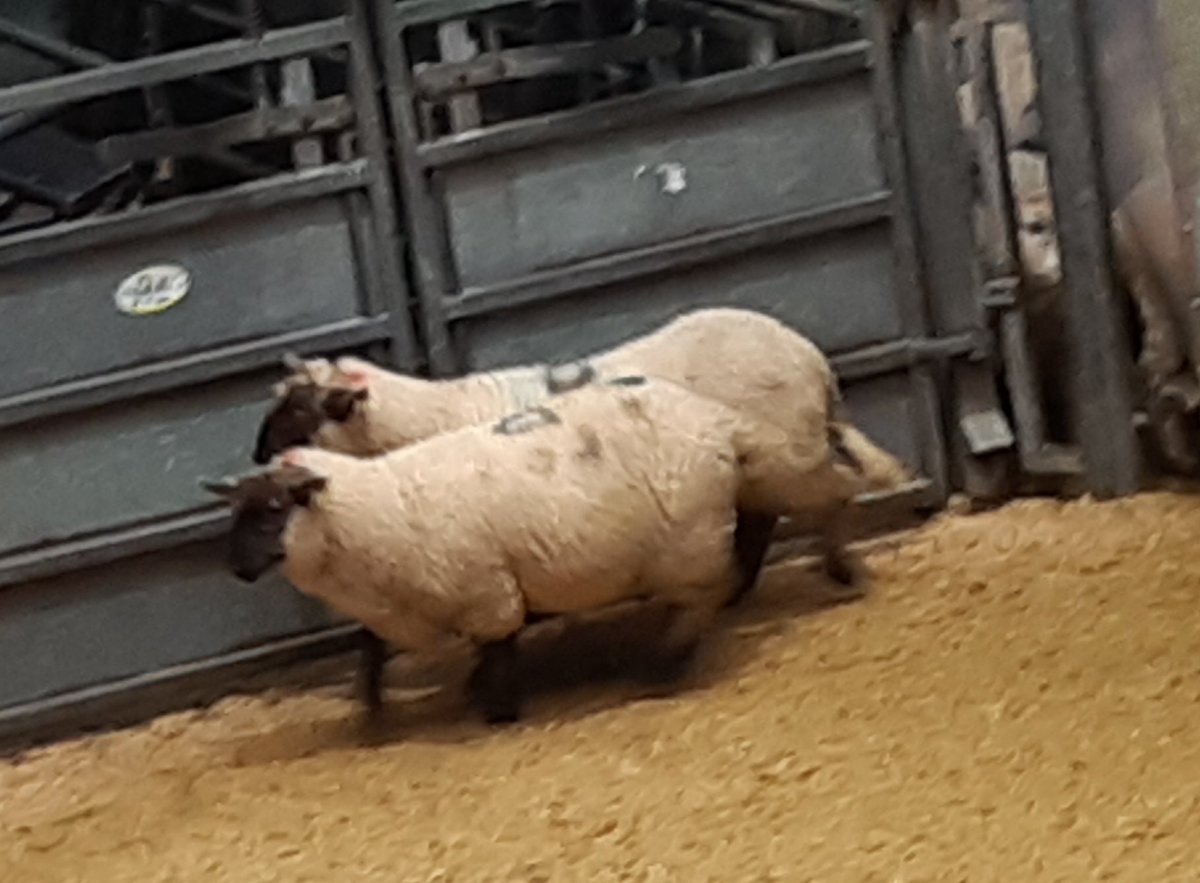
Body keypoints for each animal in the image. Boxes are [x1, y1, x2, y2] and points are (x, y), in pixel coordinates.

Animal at [208, 374, 866, 723]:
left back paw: (668, 662)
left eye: (273, 510)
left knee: (721, 580)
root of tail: (716, 421)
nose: (235, 567)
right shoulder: (410, 602)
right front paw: (371, 711)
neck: (378, 504)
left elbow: (498, 650)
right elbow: (370, 649)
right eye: (238, 511)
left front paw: (498, 709)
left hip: (690, 543)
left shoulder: (486, 591)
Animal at [252, 308, 911, 607]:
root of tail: (813, 361)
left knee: (820, 501)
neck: (435, 414)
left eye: (301, 410)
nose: (257, 454)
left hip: (788, 451)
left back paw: (841, 571)